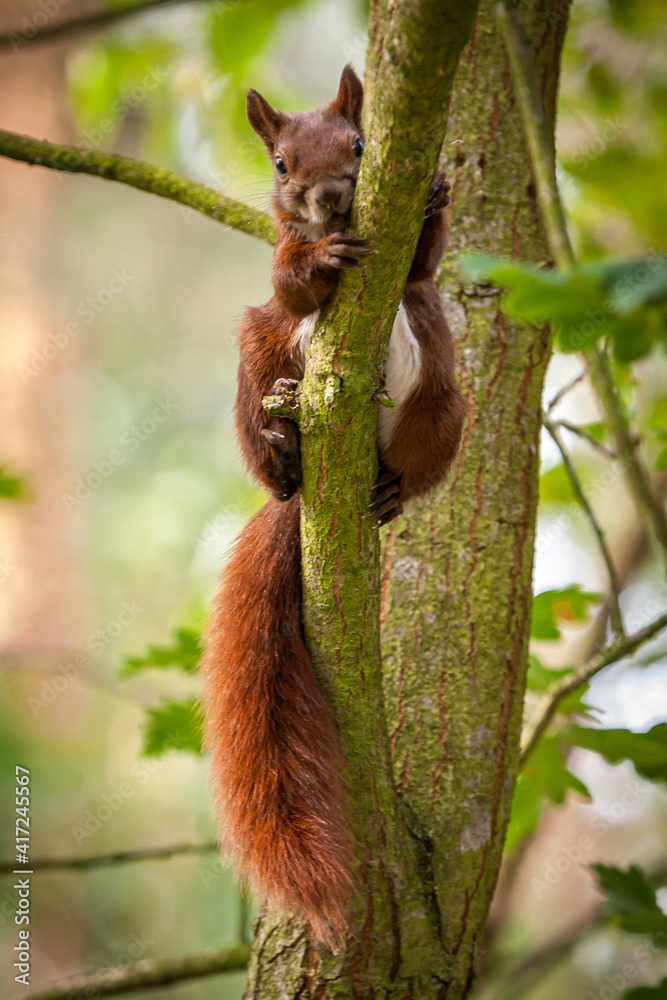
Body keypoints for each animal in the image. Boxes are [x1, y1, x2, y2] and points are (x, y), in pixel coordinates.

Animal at [204, 66, 464, 940]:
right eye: (281, 164)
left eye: (359, 143)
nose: (328, 196)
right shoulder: (278, 262)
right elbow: (291, 281)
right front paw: (322, 254)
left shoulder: (413, 281)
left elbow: (422, 265)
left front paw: (436, 192)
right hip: (257, 350)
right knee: (267, 389)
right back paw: (282, 453)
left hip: (444, 406)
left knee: (418, 453)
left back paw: (390, 488)